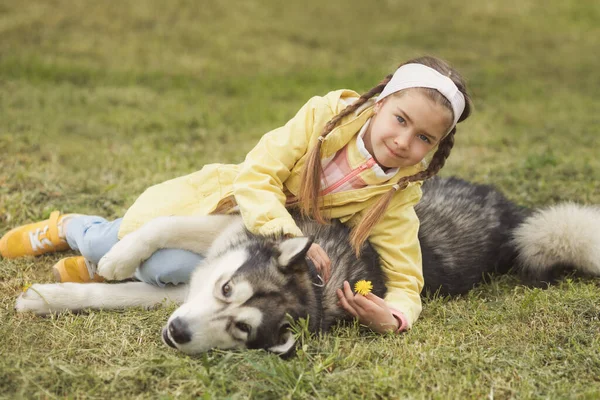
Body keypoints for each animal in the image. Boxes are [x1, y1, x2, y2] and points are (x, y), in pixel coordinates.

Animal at [14, 178, 600, 356]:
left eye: (241, 328)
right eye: (225, 289)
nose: (178, 332)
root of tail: (512, 220)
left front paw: (46, 298)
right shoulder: (238, 229)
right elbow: (161, 228)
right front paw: (113, 260)